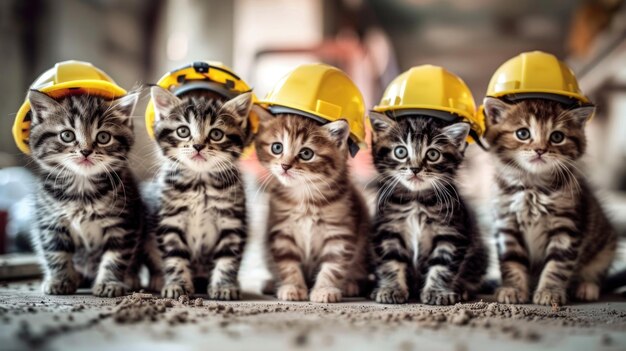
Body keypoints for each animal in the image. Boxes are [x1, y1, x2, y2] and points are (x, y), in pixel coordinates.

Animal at [27, 90, 141, 296]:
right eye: (67, 135)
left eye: (103, 137)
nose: (86, 151)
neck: (82, 189)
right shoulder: (51, 220)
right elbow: (55, 252)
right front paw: (60, 280)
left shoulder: (123, 223)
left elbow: (116, 256)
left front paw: (109, 283)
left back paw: (130, 278)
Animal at [147, 86, 252, 302]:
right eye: (183, 131)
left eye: (216, 134)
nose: (198, 146)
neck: (200, 183)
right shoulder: (170, 220)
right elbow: (175, 256)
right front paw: (177, 285)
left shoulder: (232, 221)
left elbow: (228, 257)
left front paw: (224, 287)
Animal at [255, 114, 370, 304]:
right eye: (277, 147)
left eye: (306, 153)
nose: (285, 166)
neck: (305, 197)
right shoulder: (282, 231)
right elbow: (287, 264)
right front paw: (292, 287)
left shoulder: (340, 232)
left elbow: (334, 266)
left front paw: (325, 289)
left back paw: (350, 285)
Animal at [366, 113, 488, 306]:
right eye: (400, 152)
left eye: (432, 154)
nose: (415, 169)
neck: (417, 200)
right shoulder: (387, 229)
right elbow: (390, 261)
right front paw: (391, 289)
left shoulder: (452, 232)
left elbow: (442, 264)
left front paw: (438, 292)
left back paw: (463, 290)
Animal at [480, 98, 616, 306]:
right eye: (523, 133)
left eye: (557, 136)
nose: (540, 150)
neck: (533, 187)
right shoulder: (507, 224)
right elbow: (511, 261)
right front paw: (513, 289)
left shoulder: (567, 226)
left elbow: (557, 264)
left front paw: (549, 292)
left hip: (605, 246)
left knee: (596, 271)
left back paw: (586, 287)